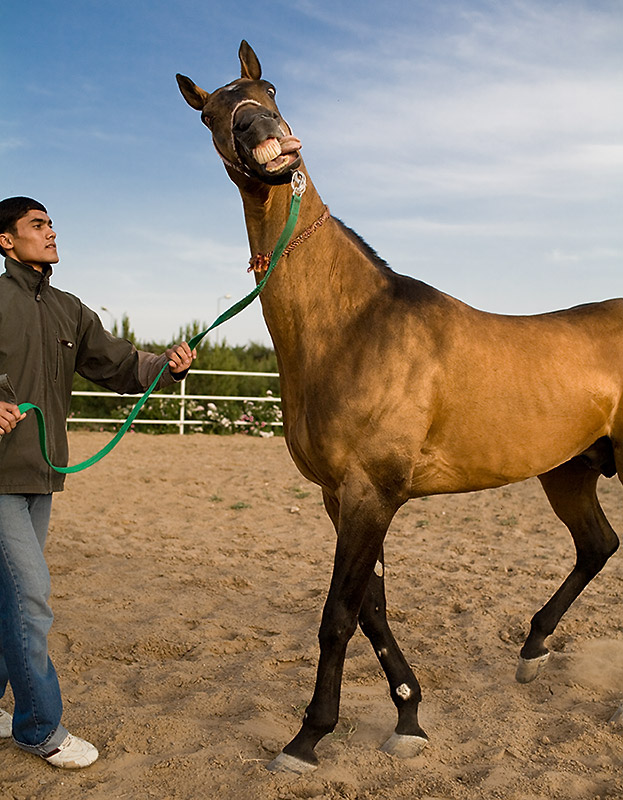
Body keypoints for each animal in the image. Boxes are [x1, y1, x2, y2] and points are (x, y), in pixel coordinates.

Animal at [177, 40, 623, 772]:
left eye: (270, 92)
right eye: (212, 113)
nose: (269, 141)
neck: (353, 325)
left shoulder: (369, 494)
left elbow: (337, 615)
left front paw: (308, 737)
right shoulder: (344, 498)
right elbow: (371, 610)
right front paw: (408, 717)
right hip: (569, 472)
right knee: (596, 546)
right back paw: (532, 650)